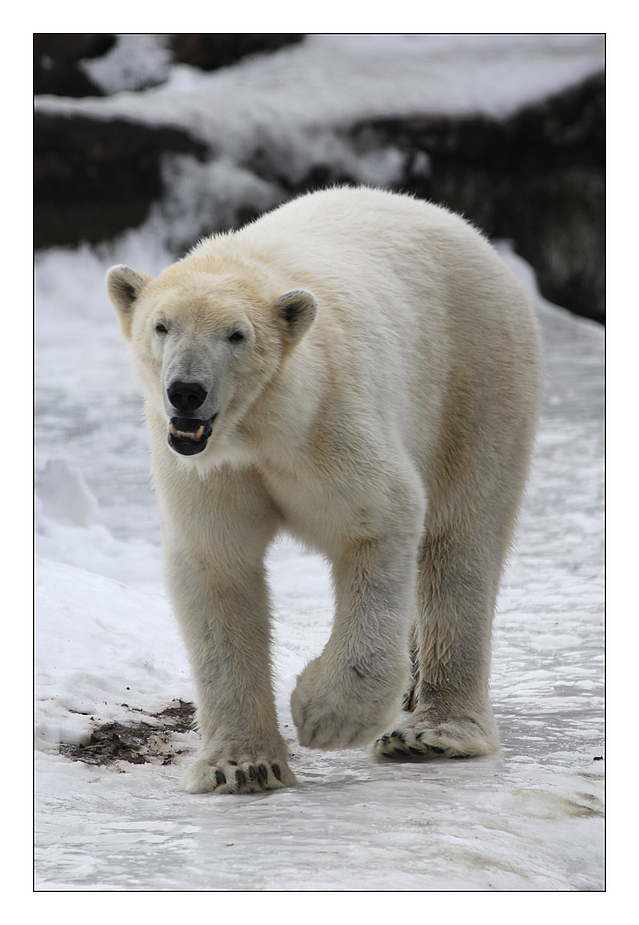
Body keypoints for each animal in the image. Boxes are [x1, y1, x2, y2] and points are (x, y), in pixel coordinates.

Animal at [107, 188, 544, 796]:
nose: (186, 392)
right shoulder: (206, 472)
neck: (257, 429)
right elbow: (216, 566)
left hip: (476, 381)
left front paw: (323, 714)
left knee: (461, 542)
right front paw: (241, 765)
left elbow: (381, 520)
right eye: (161, 325)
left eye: (236, 335)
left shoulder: (329, 423)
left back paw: (433, 731)